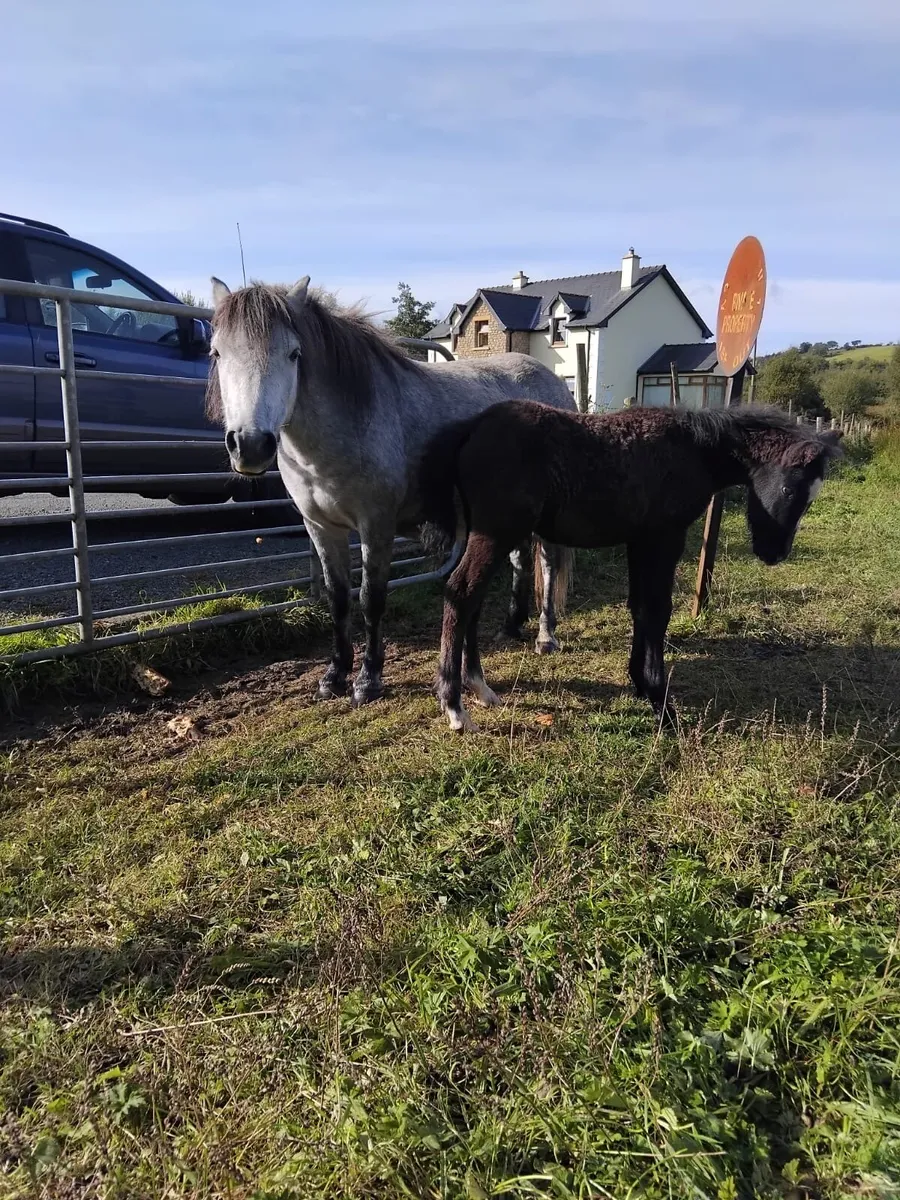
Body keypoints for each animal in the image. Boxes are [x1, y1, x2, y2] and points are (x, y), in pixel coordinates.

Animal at [205, 278, 577, 706]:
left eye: (294, 354)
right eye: (217, 352)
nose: (250, 445)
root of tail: (553, 382)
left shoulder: (376, 526)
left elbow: (371, 598)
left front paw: (368, 679)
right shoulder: (321, 528)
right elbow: (337, 598)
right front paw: (334, 676)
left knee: (548, 562)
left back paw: (546, 636)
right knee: (519, 559)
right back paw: (511, 626)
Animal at [418, 402, 844, 731]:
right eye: (790, 490)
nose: (774, 553)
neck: (694, 449)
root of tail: (472, 427)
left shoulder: (640, 540)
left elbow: (640, 608)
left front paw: (640, 684)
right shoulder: (664, 537)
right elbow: (657, 610)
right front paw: (662, 704)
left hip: (488, 534)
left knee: (471, 600)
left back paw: (480, 688)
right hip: (498, 532)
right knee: (461, 591)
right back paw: (454, 707)